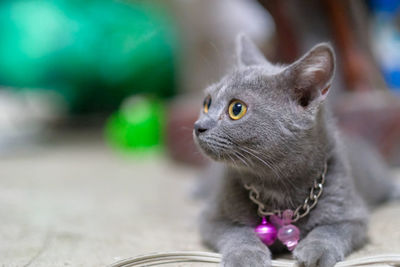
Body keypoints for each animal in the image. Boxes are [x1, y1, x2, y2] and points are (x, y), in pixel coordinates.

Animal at [192, 34, 398, 266]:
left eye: (237, 109)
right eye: (207, 103)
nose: (198, 126)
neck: (278, 187)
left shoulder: (352, 214)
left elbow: (331, 230)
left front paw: (316, 250)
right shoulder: (212, 216)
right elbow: (237, 233)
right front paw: (246, 256)